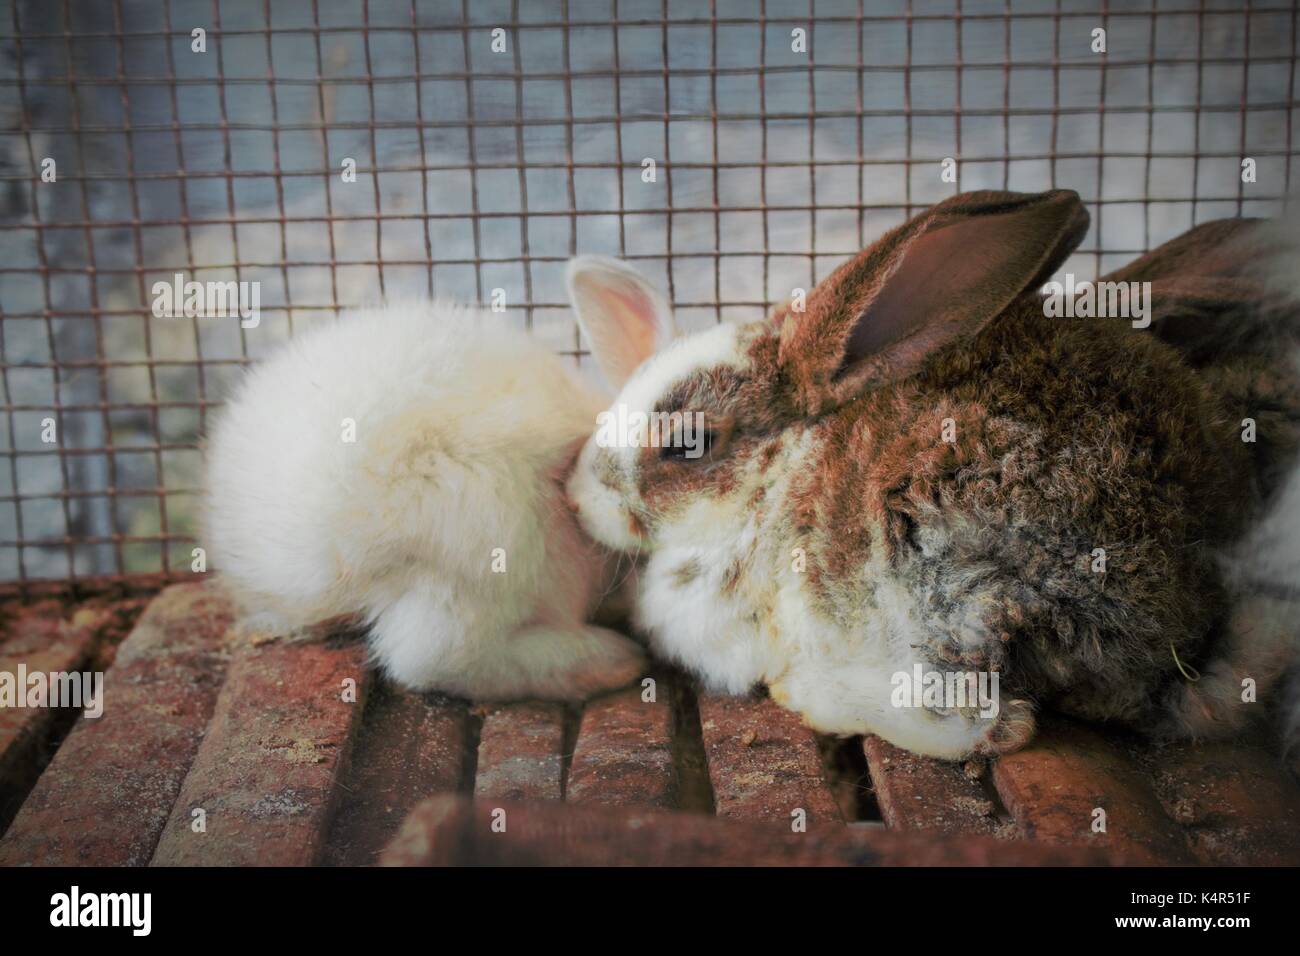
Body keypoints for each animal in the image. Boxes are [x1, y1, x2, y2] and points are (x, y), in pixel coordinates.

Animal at [564, 189, 1300, 761]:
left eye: (688, 444)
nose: (578, 499)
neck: (769, 480)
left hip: (935, 581)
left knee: (986, 723)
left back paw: (808, 694)